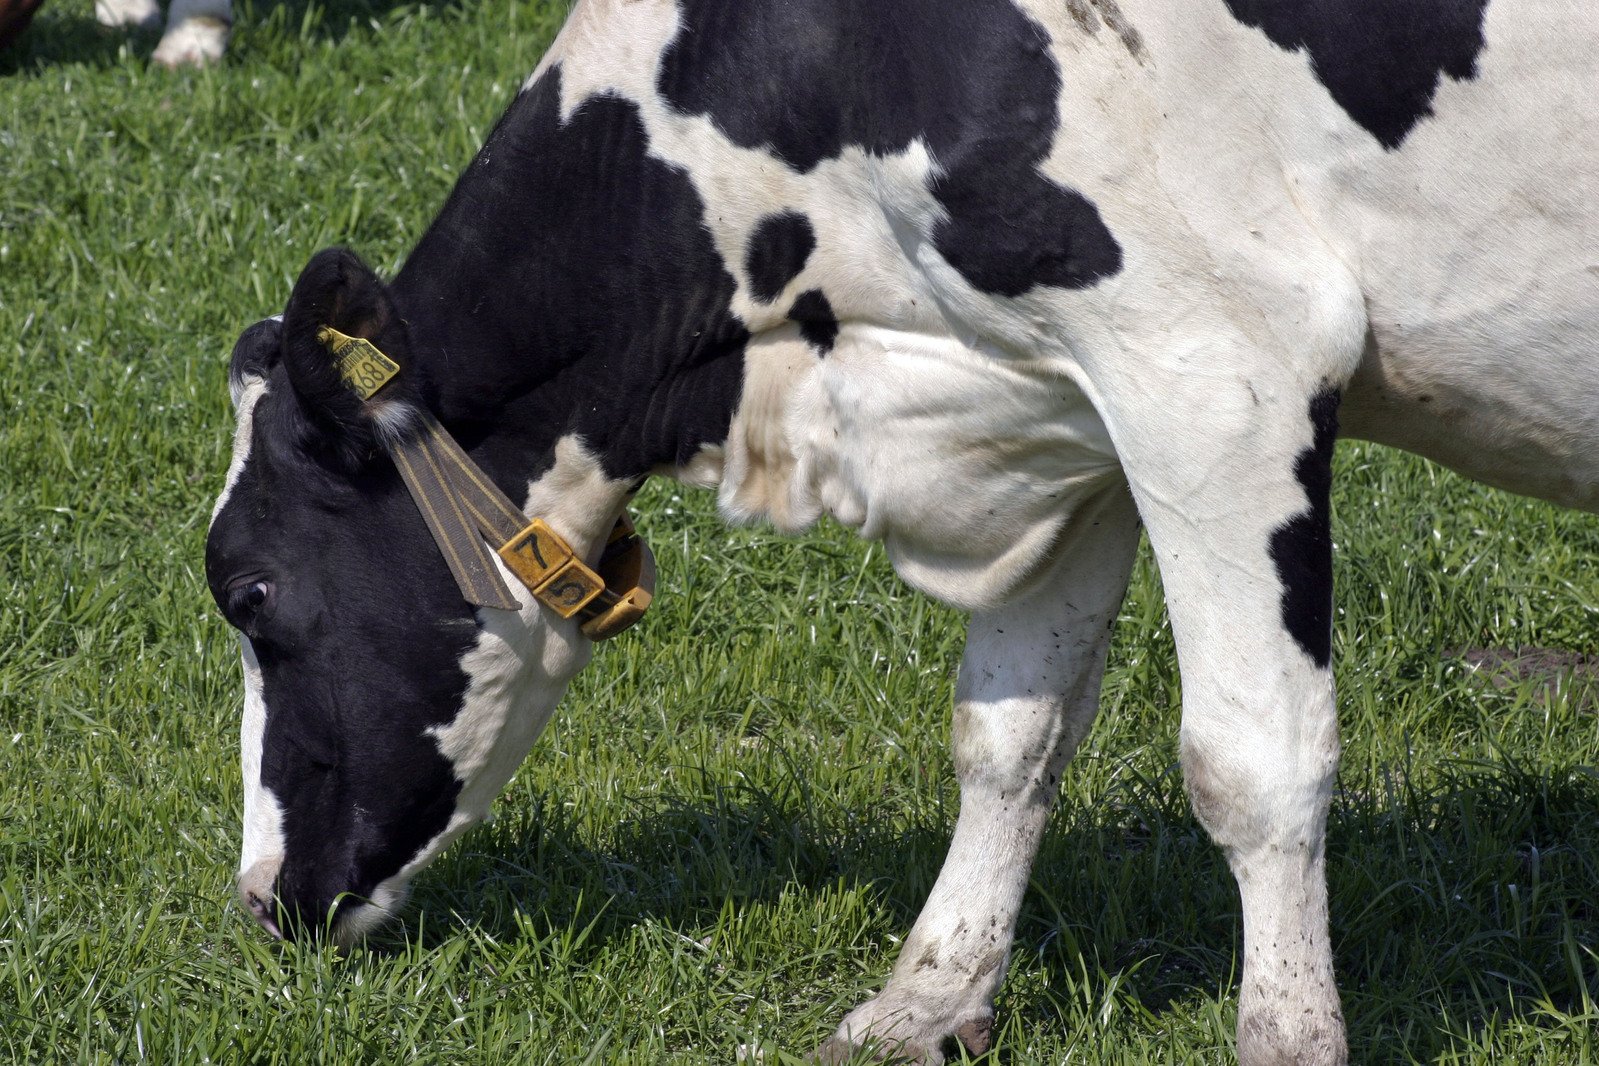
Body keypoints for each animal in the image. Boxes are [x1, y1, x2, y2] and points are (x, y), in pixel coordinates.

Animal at [206, 2, 1592, 1066]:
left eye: (249, 591)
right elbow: (1009, 736)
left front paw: (1289, 1037)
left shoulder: (1219, 368)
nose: (265, 901)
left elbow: (1252, 761)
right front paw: (929, 997)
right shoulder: (1065, 393)